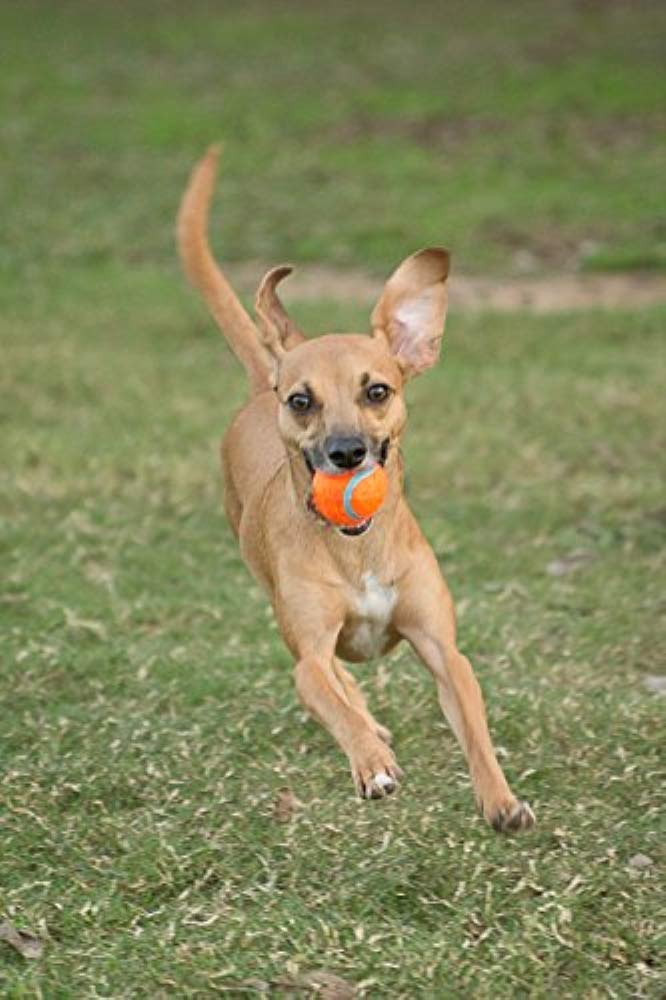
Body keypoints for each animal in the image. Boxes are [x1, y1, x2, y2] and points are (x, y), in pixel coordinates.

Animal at [176, 148, 536, 832]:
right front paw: (372, 763)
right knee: (338, 682)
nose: (347, 453)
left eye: (377, 390)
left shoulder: (444, 650)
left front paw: (501, 800)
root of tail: (260, 379)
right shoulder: (310, 654)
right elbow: (329, 694)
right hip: (273, 597)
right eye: (302, 400)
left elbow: (475, 729)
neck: (357, 550)